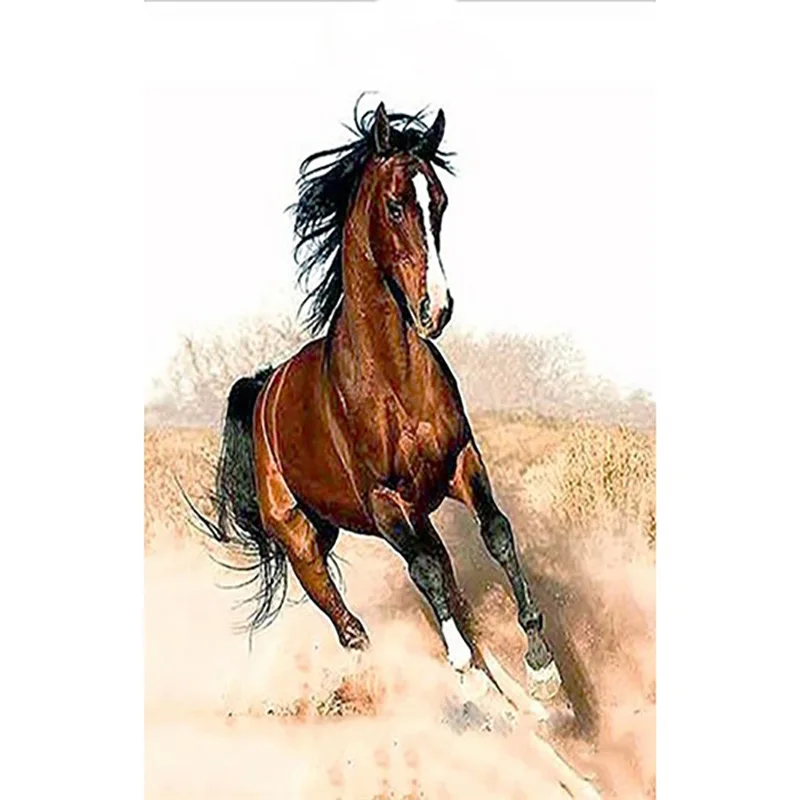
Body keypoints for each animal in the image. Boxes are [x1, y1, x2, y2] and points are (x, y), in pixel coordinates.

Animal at [193, 101, 563, 703]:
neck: (393, 379)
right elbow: (427, 573)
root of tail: (264, 388)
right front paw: (465, 668)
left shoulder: (460, 463)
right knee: (351, 625)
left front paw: (540, 664)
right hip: (303, 541)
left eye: (439, 202)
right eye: (395, 205)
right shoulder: (384, 502)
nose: (436, 308)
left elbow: (497, 534)